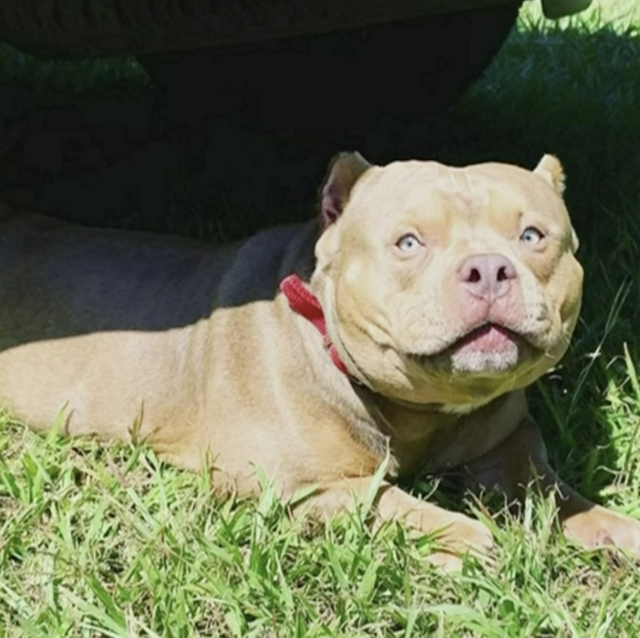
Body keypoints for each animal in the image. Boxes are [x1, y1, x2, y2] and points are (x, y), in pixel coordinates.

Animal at [1, 154, 640, 568]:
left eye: (533, 236)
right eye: (409, 243)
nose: (487, 268)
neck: (421, 410)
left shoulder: (508, 447)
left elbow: (553, 490)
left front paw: (611, 527)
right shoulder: (289, 481)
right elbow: (385, 500)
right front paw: (460, 534)